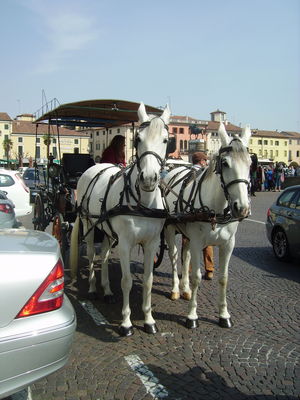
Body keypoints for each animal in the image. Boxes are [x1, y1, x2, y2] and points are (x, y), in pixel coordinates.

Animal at [69, 101, 170, 336]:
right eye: (138, 139)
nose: (149, 178)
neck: (143, 203)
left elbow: (148, 281)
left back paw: (106, 290)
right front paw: (126, 323)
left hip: (106, 228)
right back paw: (93, 288)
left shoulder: (152, 243)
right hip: (88, 223)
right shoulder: (125, 243)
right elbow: (126, 281)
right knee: (92, 253)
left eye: (166, 140)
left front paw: (149, 320)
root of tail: (96, 166)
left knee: (105, 254)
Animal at [162, 123, 251, 330]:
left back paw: (185, 289)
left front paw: (224, 315)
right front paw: (192, 316)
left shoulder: (228, 245)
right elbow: (196, 277)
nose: (242, 208)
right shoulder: (197, 242)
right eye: (225, 163)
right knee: (174, 256)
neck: (215, 210)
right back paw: (176, 289)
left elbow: (223, 278)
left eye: (250, 163)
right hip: (170, 229)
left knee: (185, 257)